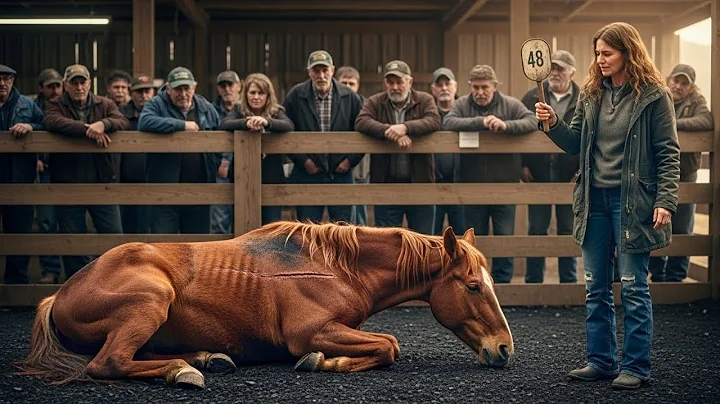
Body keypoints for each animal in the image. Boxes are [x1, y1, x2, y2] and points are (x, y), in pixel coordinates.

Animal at [16, 221, 514, 389]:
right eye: (473, 286)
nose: (505, 349)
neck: (334, 267)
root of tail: (59, 294)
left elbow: (386, 344)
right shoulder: (310, 331)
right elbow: (388, 344)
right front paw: (323, 362)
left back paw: (206, 357)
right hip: (151, 300)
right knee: (110, 363)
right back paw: (185, 370)